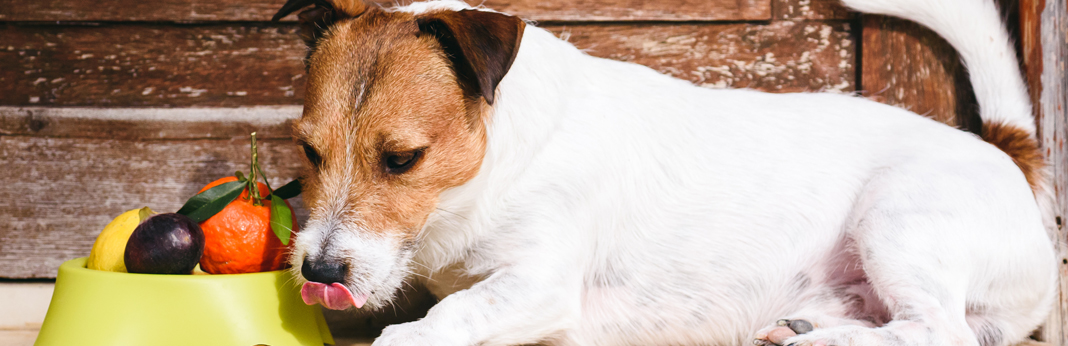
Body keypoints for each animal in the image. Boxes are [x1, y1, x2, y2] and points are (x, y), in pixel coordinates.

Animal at [271, 0, 1055, 343]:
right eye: (309, 151)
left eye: (402, 159)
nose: (319, 273)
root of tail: (1006, 152)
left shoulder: (539, 285)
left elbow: (442, 319)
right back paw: (805, 328)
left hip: (897, 218)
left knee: (939, 332)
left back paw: (826, 340)